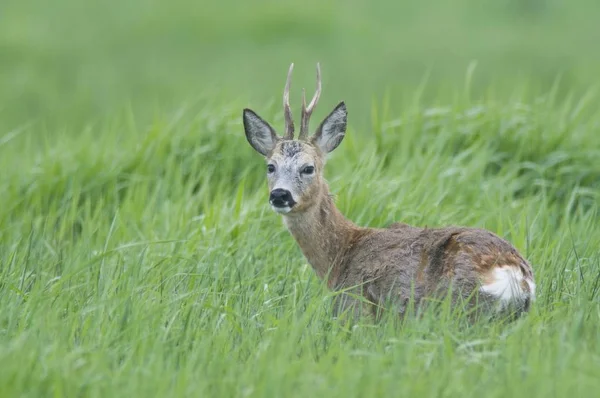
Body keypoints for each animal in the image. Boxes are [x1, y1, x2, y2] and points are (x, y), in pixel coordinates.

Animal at [241, 63, 536, 320]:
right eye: (270, 166)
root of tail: (515, 274)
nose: (280, 195)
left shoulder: (355, 306)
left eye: (308, 168)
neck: (341, 256)